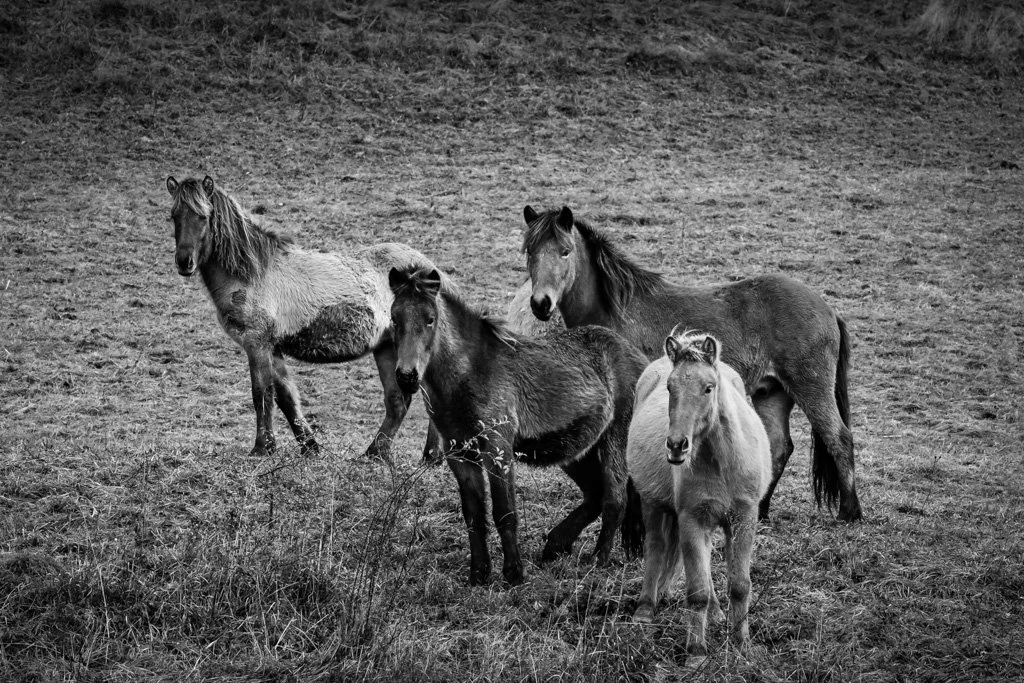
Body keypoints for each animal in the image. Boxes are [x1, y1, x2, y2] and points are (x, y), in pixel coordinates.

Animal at [165, 175, 451, 461]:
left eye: (203, 216)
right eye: (174, 215)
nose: (184, 262)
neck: (253, 273)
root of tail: (429, 270)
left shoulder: (256, 343)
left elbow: (261, 393)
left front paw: (262, 448)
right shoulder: (272, 347)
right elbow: (286, 396)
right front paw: (309, 447)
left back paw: (427, 456)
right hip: (387, 348)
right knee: (397, 400)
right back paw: (383, 453)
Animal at [387, 266, 648, 585]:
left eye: (430, 319)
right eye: (394, 318)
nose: (407, 376)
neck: (471, 371)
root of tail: (638, 358)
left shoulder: (498, 450)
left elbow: (505, 512)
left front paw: (514, 573)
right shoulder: (461, 456)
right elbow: (474, 516)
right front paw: (478, 574)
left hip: (615, 438)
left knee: (614, 499)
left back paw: (598, 560)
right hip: (576, 451)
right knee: (595, 495)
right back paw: (556, 546)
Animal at [521, 205, 862, 523]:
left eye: (565, 251)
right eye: (530, 251)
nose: (541, 303)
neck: (619, 313)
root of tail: (828, 309)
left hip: (811, 388)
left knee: (839, 439)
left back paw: (850, 513)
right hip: (773, 392)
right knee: (778, 447)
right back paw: (761, 510)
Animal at [628, 330, 770, 657]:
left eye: (708, 388)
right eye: (670, 387)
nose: (676, 446)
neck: (721, 462)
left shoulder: (744, 518)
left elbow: (739, 585)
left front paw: (742, 645)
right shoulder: (692, 519)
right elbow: (696, 592)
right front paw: (696, 652)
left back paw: (717, 614)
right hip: (652, 504)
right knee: (656, 547)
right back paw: (645, 609)